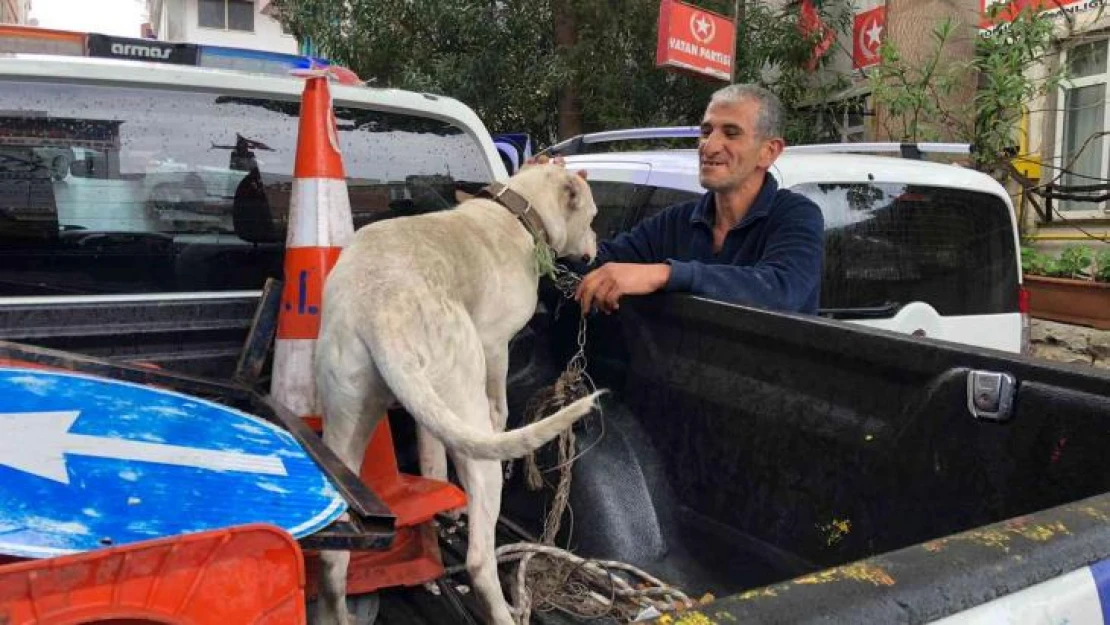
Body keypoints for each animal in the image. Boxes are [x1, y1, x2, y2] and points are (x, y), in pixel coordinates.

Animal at [313, 164, 608, 621]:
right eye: (592, 215)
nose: (595, 249)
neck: (518, 212)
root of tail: (380, 310)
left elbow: (433, 456)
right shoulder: (495, 347)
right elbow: (499, 406)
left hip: (347, 424)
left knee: (333, 560)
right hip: (468, 407)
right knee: (479, 560)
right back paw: (505, 611)